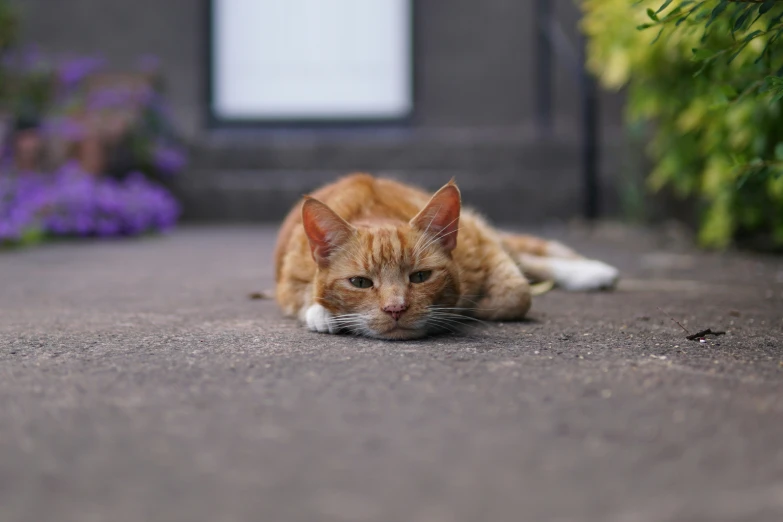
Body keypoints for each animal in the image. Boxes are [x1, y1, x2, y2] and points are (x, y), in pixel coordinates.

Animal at [276, 173, 620, 340]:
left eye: (420, 276)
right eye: (360, 282)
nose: (395, 309)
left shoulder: (482, 246)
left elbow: (517, 294)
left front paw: (470, 308)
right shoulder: (287, 279)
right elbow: (304, 295)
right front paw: (322, 312)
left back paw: (590, 272)